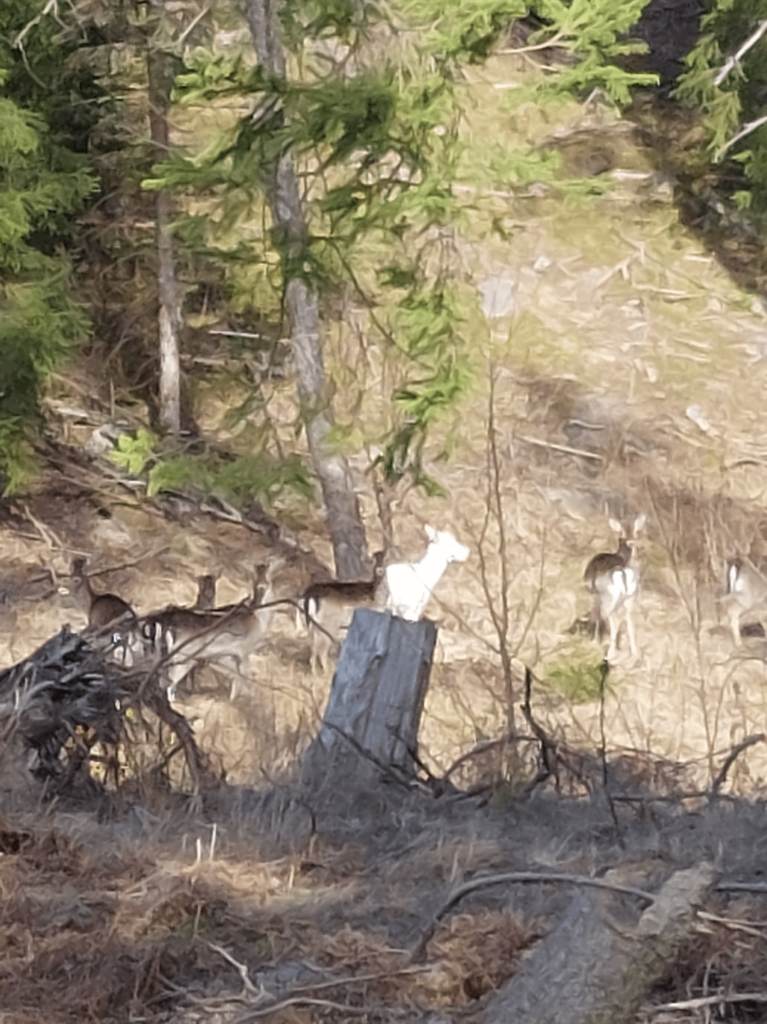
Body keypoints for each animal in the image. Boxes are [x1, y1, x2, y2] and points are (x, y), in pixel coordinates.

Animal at [583, 514, 646, 661]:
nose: (636, 545)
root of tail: (621, 572)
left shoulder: (595, 594)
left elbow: (596, 615)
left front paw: (596, 641)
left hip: (609, 597)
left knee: (613, 621)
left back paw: (610, 653)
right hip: (629, 597)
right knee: (629, 621)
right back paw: (634, 654)